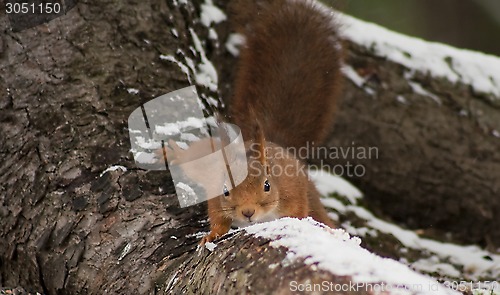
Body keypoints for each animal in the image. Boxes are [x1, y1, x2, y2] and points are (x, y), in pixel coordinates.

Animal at [167, 0, 340, 245]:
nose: (248, 212)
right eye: (226, 190)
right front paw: (212, 234)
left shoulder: (294, 193)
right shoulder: (215, 192)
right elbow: (217, 216)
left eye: (266, 185)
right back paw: (172, 153)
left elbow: (298, 212)